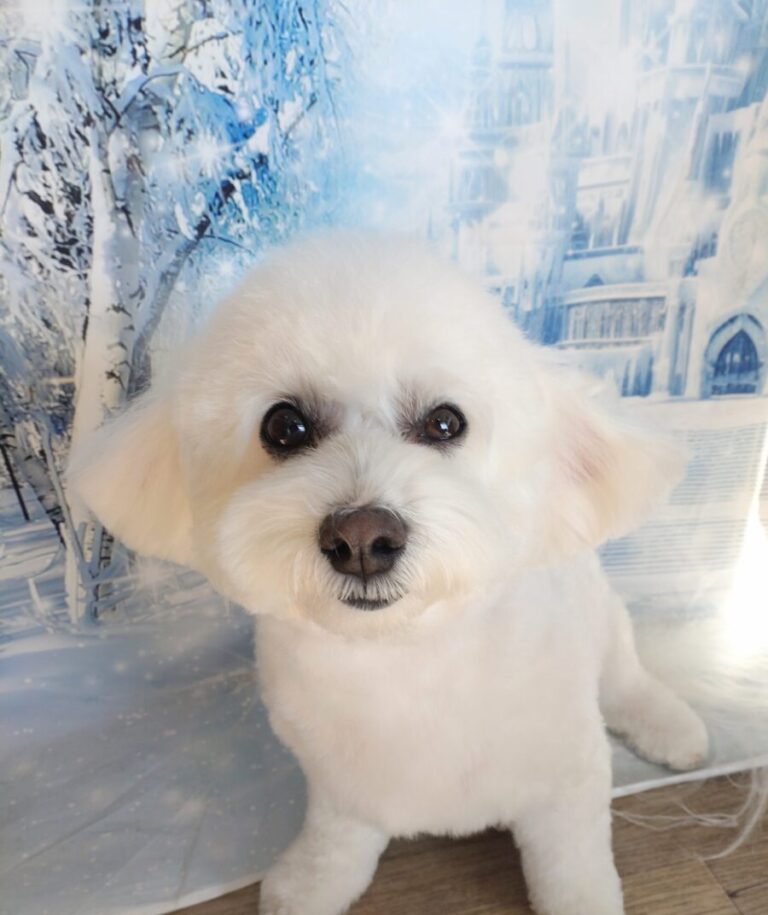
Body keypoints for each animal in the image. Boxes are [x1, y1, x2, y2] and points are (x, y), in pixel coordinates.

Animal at [69, 234, 709, 915]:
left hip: (603, 619)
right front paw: (310, 883)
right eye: (284, 426)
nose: (361, 539)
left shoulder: (566, 776)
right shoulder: (340, 783)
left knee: (625, 677)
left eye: (445, 422)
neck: (404, 659)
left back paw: (671, 727)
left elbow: (572, 866)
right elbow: (338, 840)